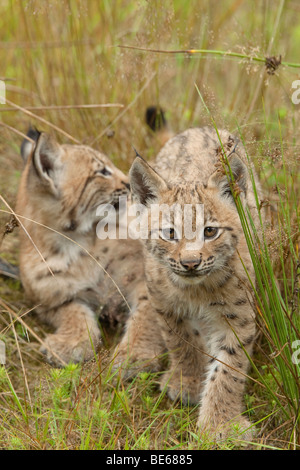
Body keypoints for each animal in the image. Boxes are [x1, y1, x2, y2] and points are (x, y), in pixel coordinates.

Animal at [116, 126, 264, 438]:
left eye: (209, 232)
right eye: (170, 234)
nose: (190, 263)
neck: (196, 291)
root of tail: (197, 129)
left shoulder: (239, 316)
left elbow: (229, 368)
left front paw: (220, 425)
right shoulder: (166, 306)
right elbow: (182, 344)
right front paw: (188, 382)